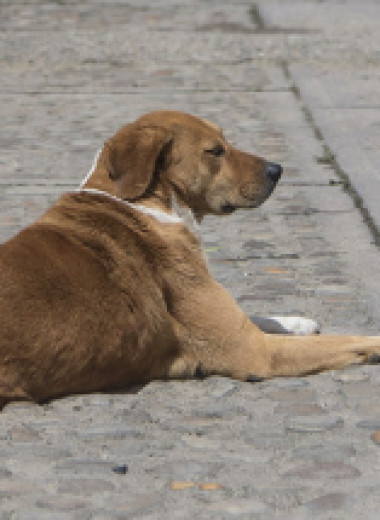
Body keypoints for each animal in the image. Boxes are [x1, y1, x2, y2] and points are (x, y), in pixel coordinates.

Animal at [0, 111, 380, 408]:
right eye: (215, 151)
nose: (278, 169)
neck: (147, 204)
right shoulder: (255, 350)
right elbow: (343, 340)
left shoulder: (235, 325)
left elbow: (261, 316)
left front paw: (297, 322)